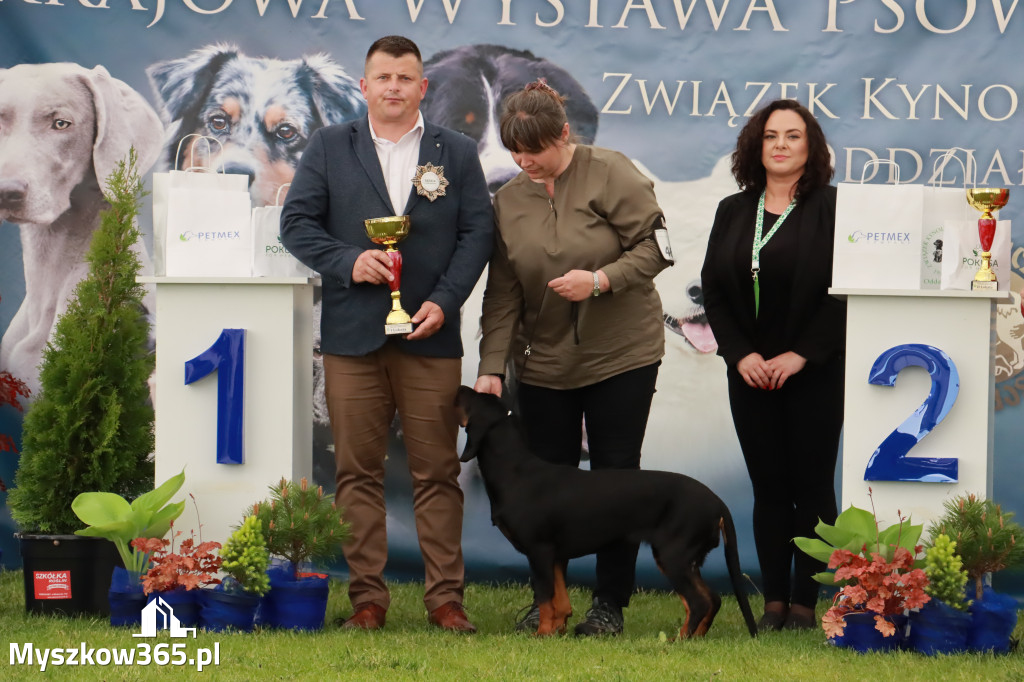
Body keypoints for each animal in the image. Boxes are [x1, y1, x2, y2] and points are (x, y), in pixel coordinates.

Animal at [452, 387, 757, 638]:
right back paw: (695, 638)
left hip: (674, 556)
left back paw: (679, 640)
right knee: (712, 599)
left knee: (699, 601)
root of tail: (717, 502)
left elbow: (546, 597)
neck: (515, 471)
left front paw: (542, 634)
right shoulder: (555, 555)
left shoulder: (539, 551)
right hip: (685, 559)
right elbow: (560, 600)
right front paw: (556, 632)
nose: (460, 387)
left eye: (471, 398)